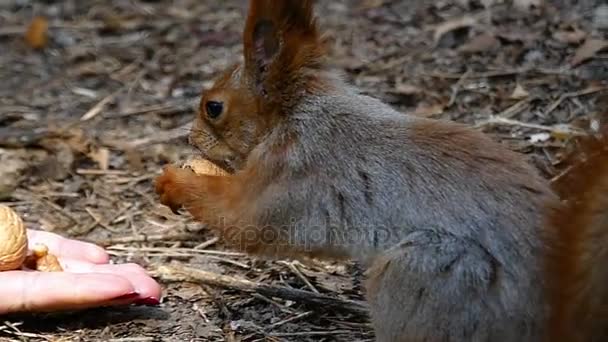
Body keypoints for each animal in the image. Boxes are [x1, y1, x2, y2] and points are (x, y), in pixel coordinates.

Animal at [156, 1, 604, 340]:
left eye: (213, 107)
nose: (191, 137)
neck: (296, 116)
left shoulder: (293, 179)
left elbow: (240, 222)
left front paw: (174, 181)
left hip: (429, 275)